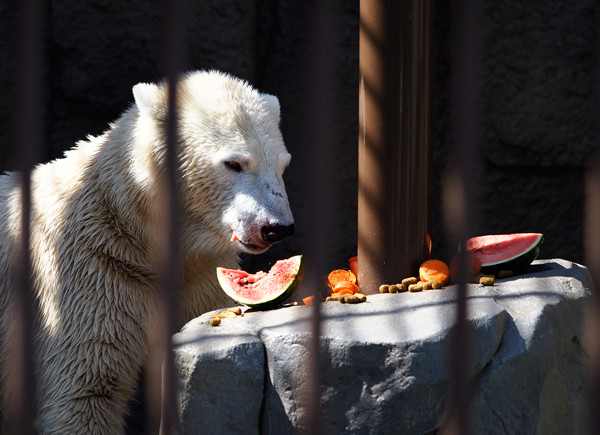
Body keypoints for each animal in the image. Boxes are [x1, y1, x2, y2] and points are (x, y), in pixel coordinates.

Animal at [0, 70, 292, 432]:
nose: (276, 227)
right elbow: (87, 392)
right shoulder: (94, 268)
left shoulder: (197, 277)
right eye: (234, 163)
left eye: (282, 165)